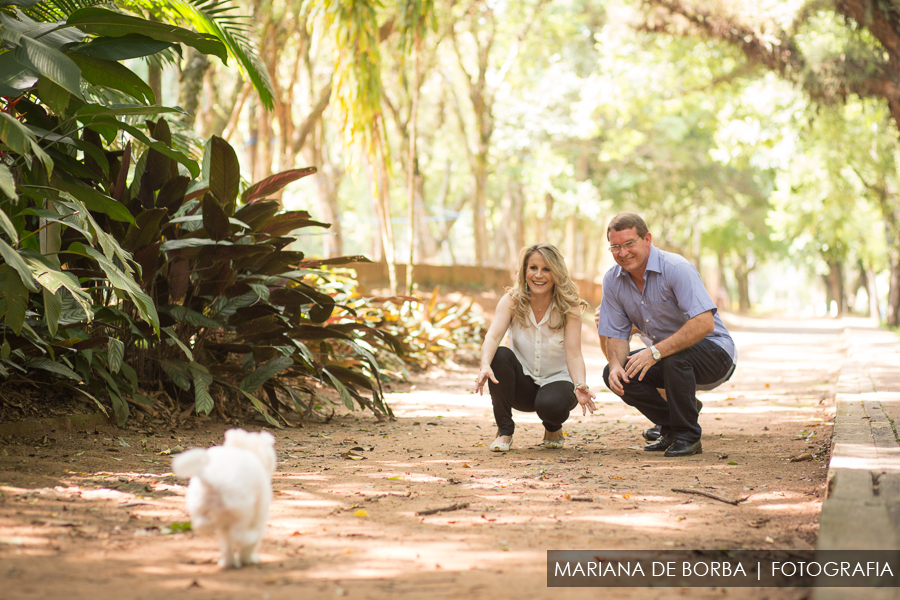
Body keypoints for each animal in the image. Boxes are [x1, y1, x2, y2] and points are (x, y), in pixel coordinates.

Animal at [172, 428, 276, 564]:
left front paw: (229, 562)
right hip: (242, 511)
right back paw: (250, 538)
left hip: (200, 508)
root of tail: (212, 481)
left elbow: (226, 543)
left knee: (203, 525)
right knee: (239, 535)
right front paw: (248, 558)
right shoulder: (258, 514)